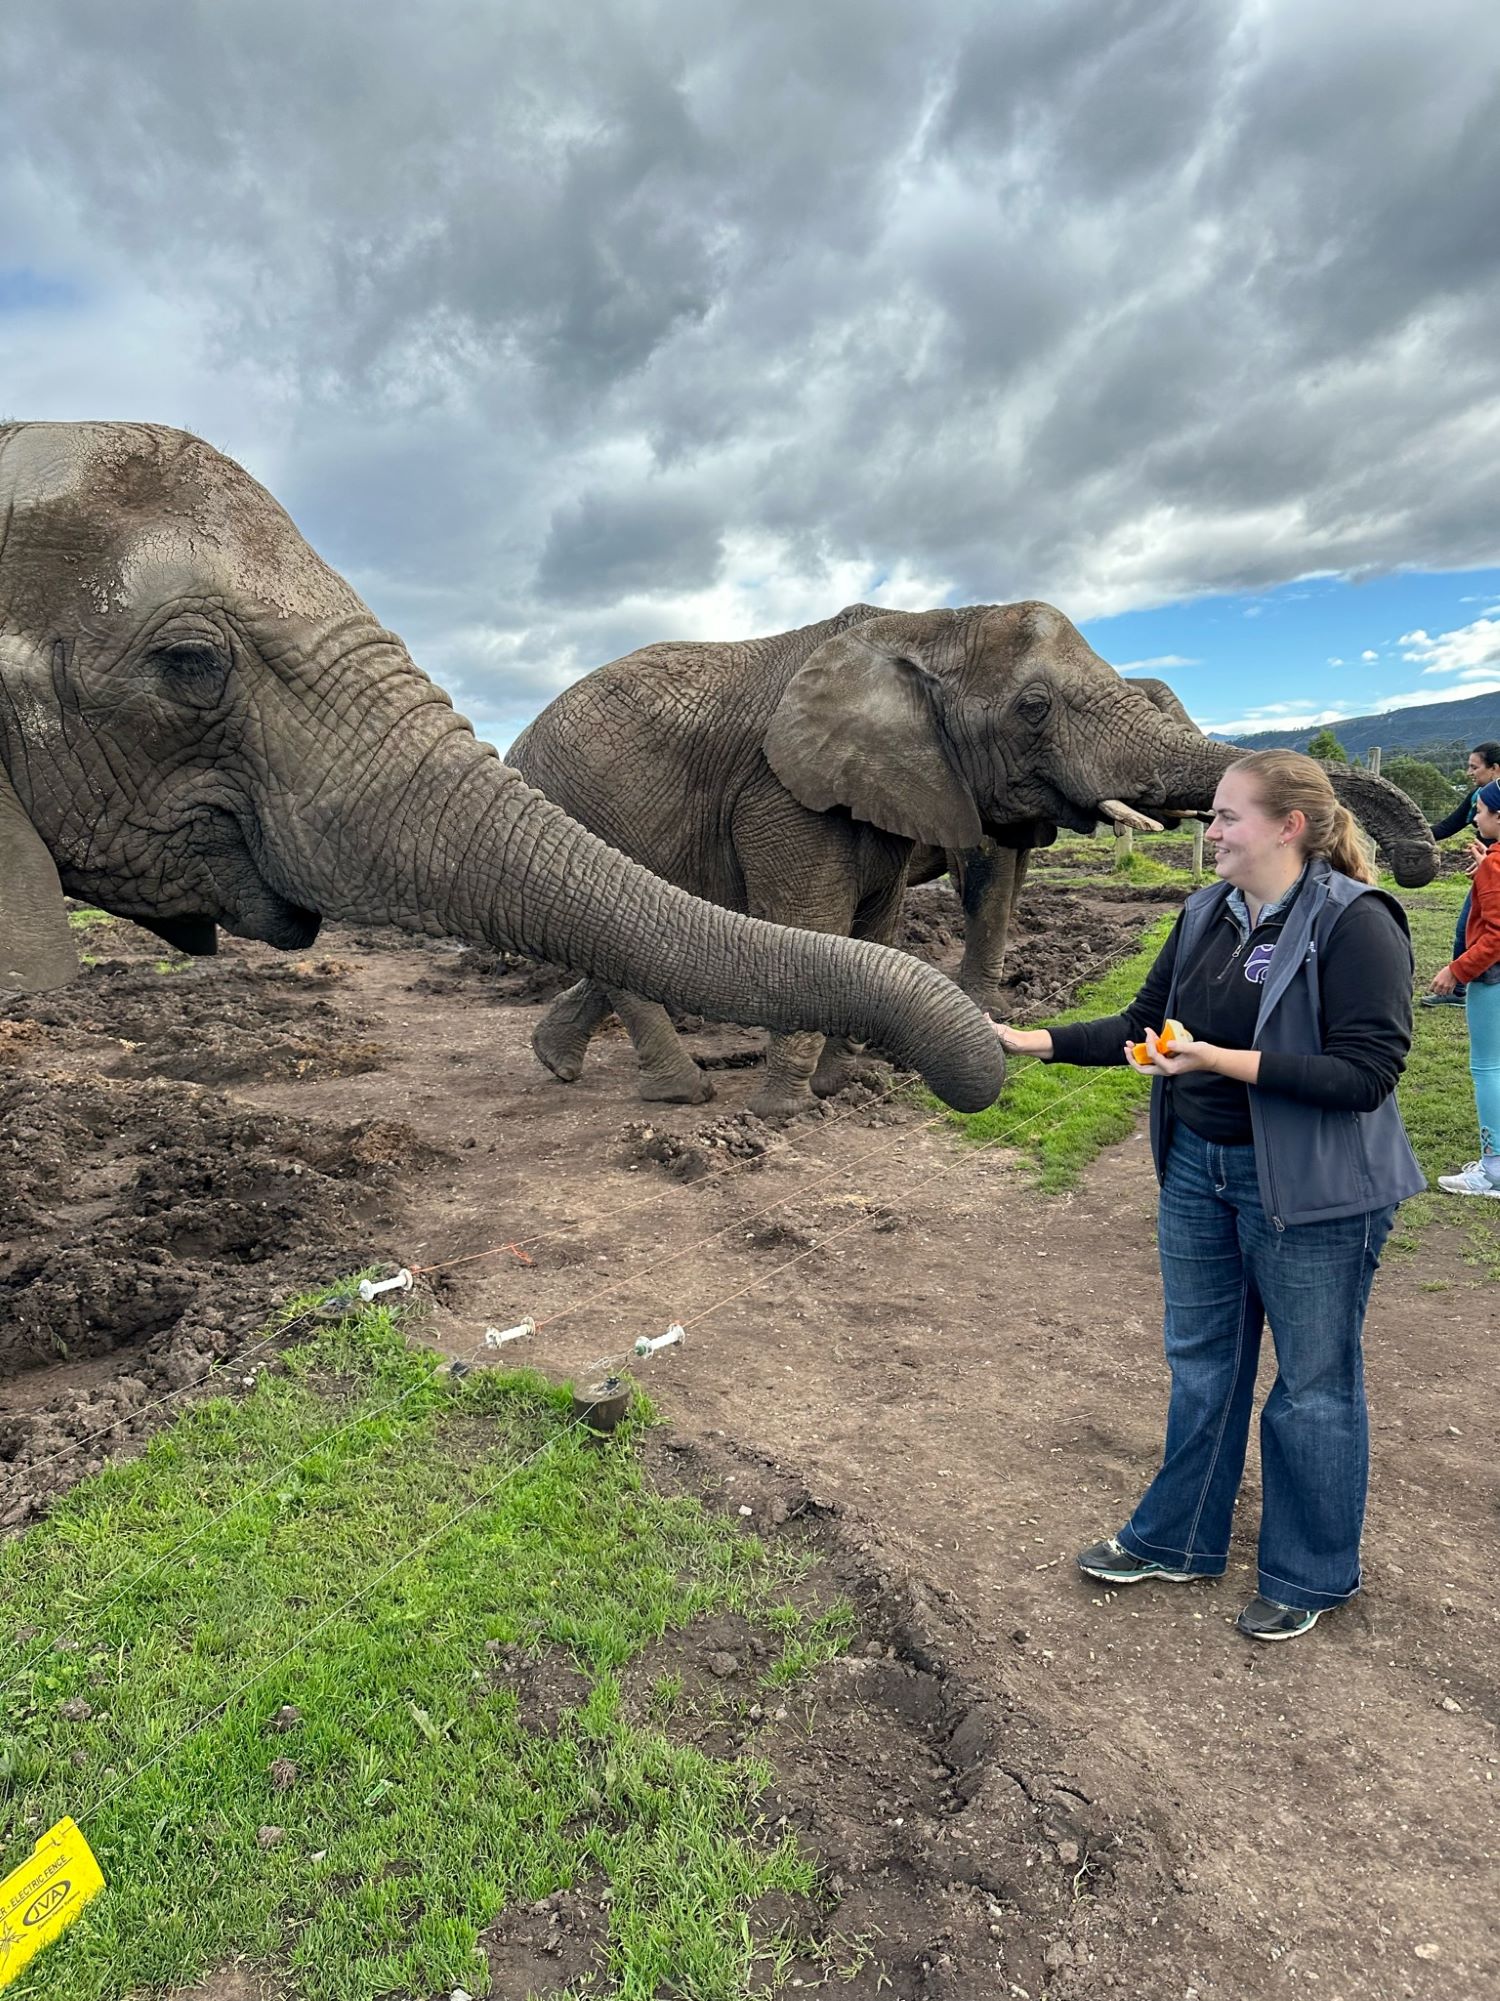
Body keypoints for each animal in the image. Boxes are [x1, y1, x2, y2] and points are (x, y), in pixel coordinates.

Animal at [512, 600, 1440, 1120]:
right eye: (1033, 708)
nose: (1410, 863)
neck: (926, 626)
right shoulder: (786, 787)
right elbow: (819, 916)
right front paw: (782, 1113)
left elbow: (879, 922)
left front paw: (843, 1086)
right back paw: (682, 1094)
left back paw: (558, 1061)